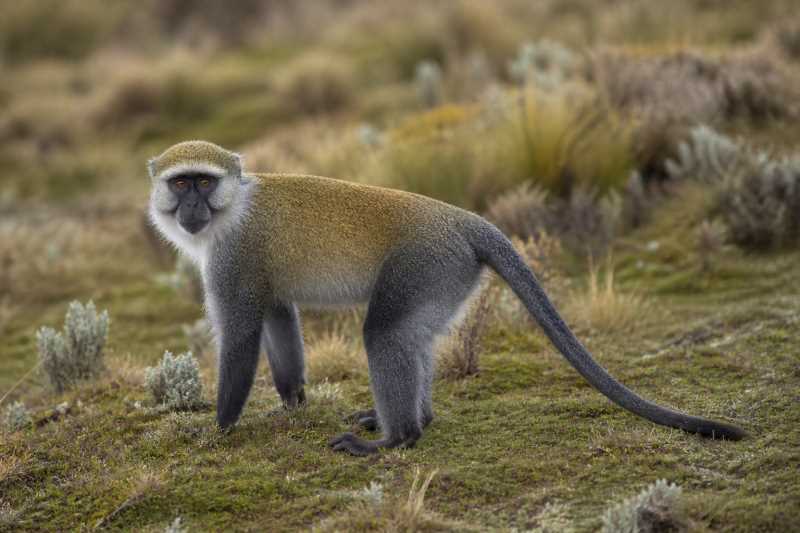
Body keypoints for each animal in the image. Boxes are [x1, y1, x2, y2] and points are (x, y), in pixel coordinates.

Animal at [147, 140, 746, 456]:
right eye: (180, 184)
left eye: (203, 182)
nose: (191, 208)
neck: (232, 209)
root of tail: (461, 220)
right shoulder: (255, 273)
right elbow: (277, 318)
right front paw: (293, 401)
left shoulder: (232, 260)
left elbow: (241, 337)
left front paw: (218, 427)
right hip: (446, 277)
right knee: (412, 336)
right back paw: (419, 420)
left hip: (425, 263)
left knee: (385, 333)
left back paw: (397, 438)